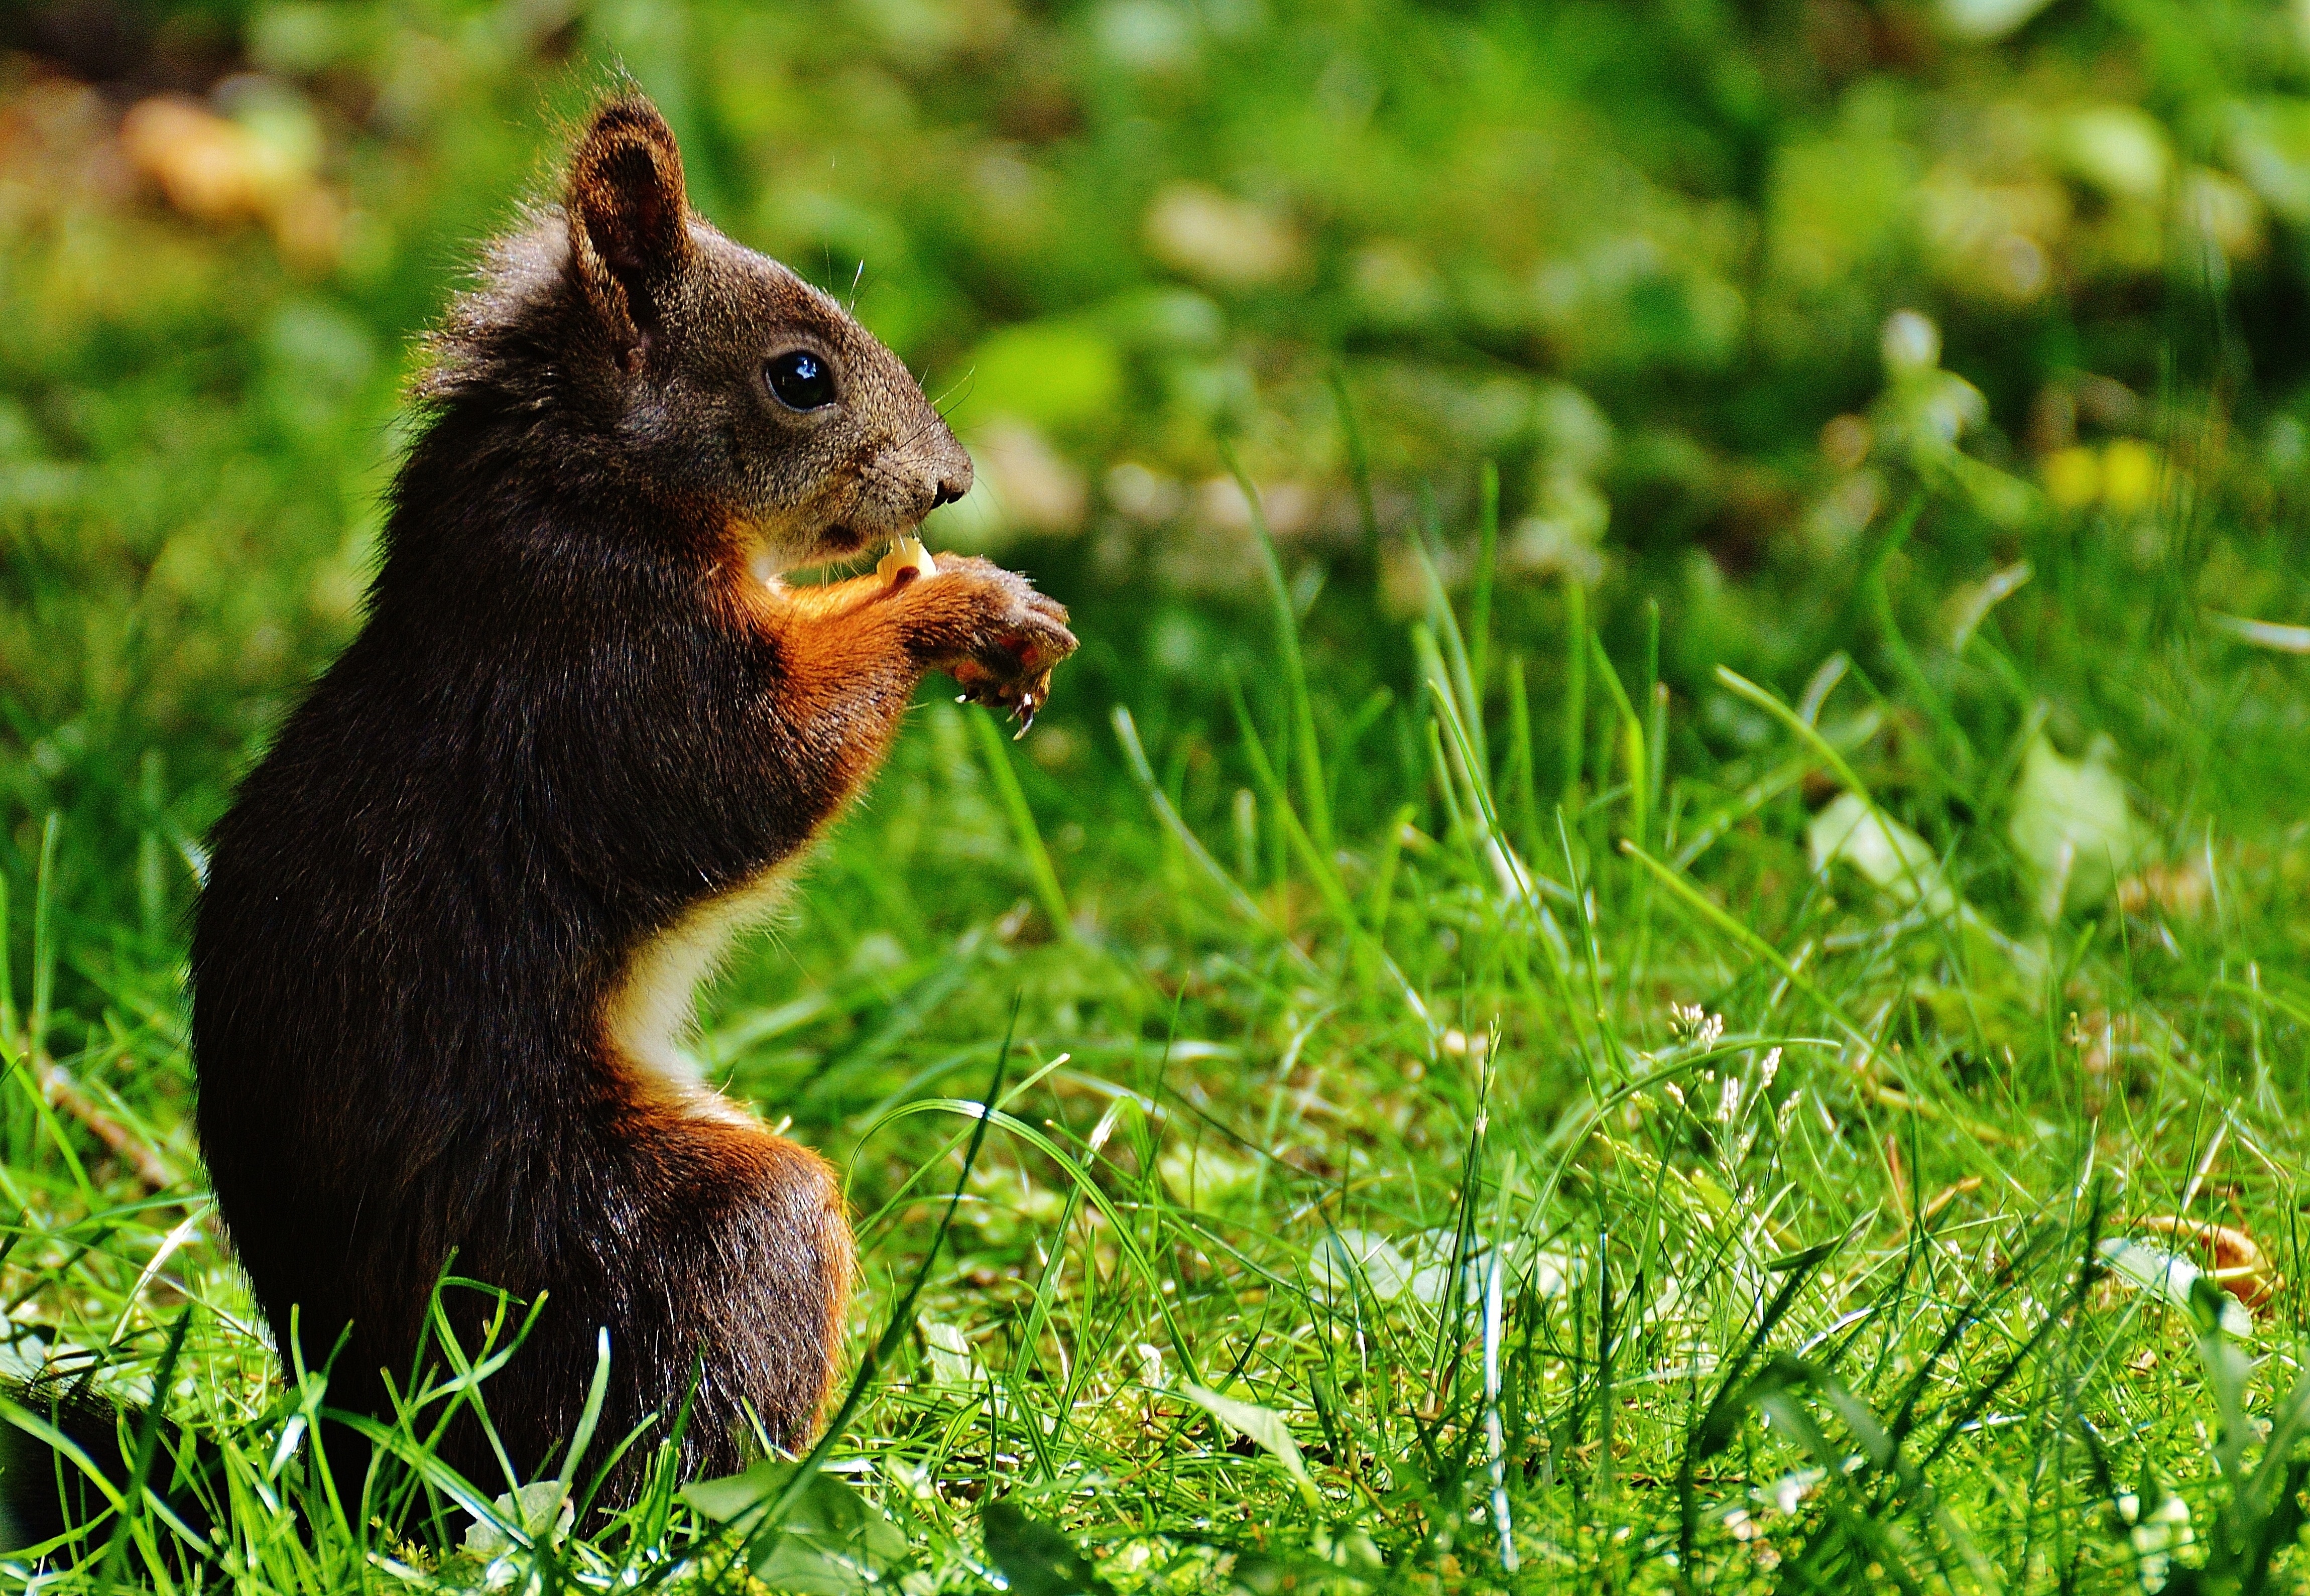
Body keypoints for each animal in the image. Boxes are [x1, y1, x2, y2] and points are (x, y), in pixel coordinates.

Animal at [2, 90, 1071, 1552]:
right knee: (651, 1463)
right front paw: (953, 602)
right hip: (669, 1248)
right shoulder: (606, 682)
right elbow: (758, 764)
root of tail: (380, 1468)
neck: (593, 485)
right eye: (801, 376)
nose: (952, 486)